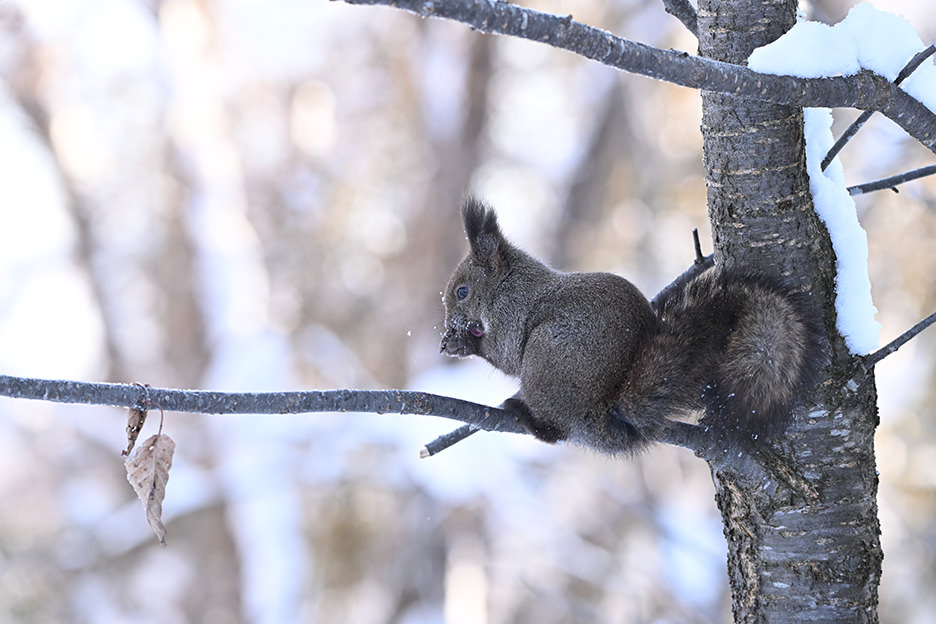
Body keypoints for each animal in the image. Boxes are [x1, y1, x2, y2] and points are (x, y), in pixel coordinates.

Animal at [442, 196, 824, 454]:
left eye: (462, 291)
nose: (448, 324)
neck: (507, 283)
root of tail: (602, 413)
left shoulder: (513, 312)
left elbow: (505, 355)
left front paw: (464, 344)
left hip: (545, 358)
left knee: (554, 431)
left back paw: (525, 414)